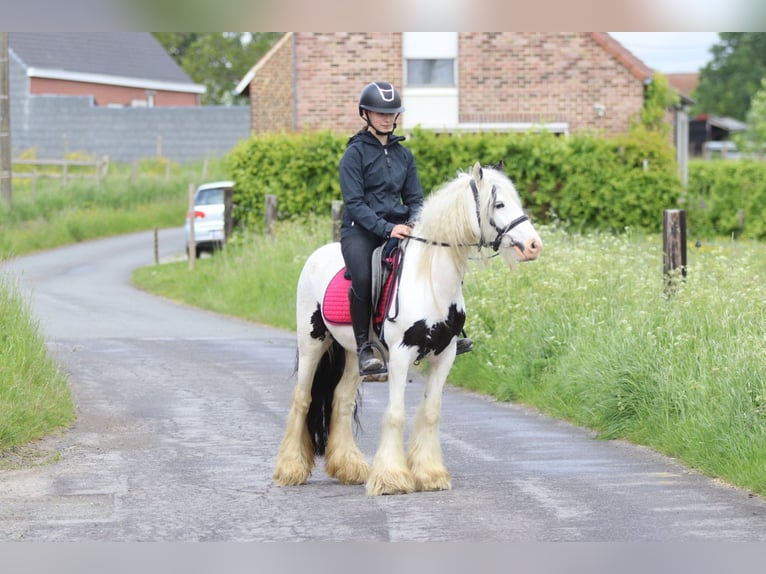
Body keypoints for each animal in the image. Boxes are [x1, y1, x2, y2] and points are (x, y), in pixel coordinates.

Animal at [273, 162, 543, 495]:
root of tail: (318, 255)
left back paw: (349, 467)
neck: (429, 280)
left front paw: (430, 474)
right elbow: (396, 414)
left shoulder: (445, 355)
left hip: (354, 354)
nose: (534, 246)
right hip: (312, 343)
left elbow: (431, 411)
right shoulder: (401, 355)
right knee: (302, 398)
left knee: (342, 400)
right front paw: (391, 478)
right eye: (500, 204)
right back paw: (290, 469)